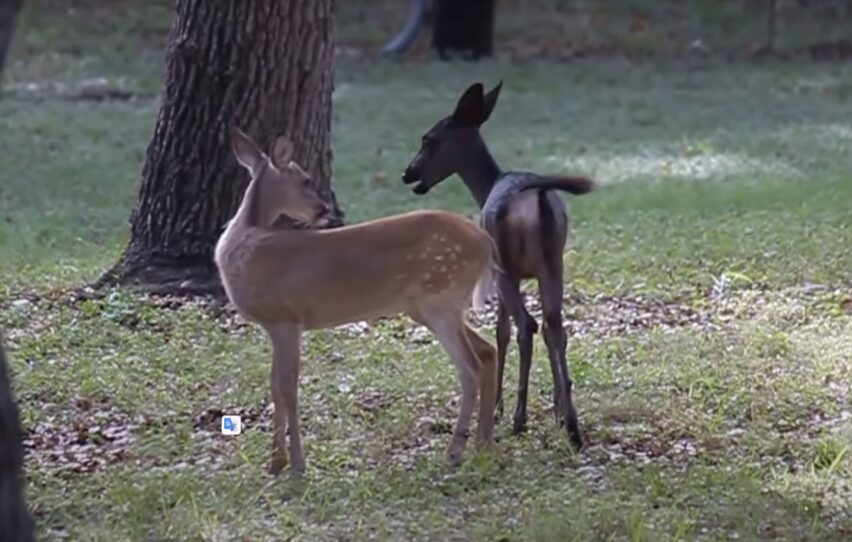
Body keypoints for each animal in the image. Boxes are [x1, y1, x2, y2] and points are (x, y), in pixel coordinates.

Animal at [402, 79, 596, 446]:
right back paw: (573, 425)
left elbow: (501, 330)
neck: (485, 187)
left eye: (429, 139)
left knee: (527, 325)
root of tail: (535, 196)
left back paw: (520, 419)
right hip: (553, 262)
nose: (408, 173)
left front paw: (497, 407)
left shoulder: (494, 271)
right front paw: (557, 408)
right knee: (554, 325)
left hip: (506, 263)